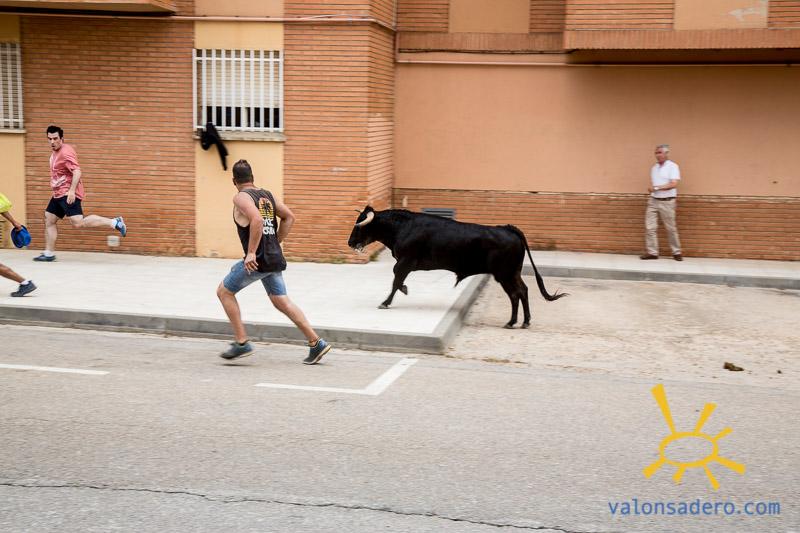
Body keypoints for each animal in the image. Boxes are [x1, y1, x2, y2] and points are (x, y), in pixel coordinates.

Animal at [347, 206, 567, 328]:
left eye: (359, 226)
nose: (349, 242)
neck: (403, 227)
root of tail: (507, 228)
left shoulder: (405, 262)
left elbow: (395, 280)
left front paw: (386, 301)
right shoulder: (405, 264)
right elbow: (397, 280)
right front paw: (403, 290)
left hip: (504, 274)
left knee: (515, 294)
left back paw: (513, 322)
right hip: (512, 273)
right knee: (523, 291)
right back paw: (523, 321)